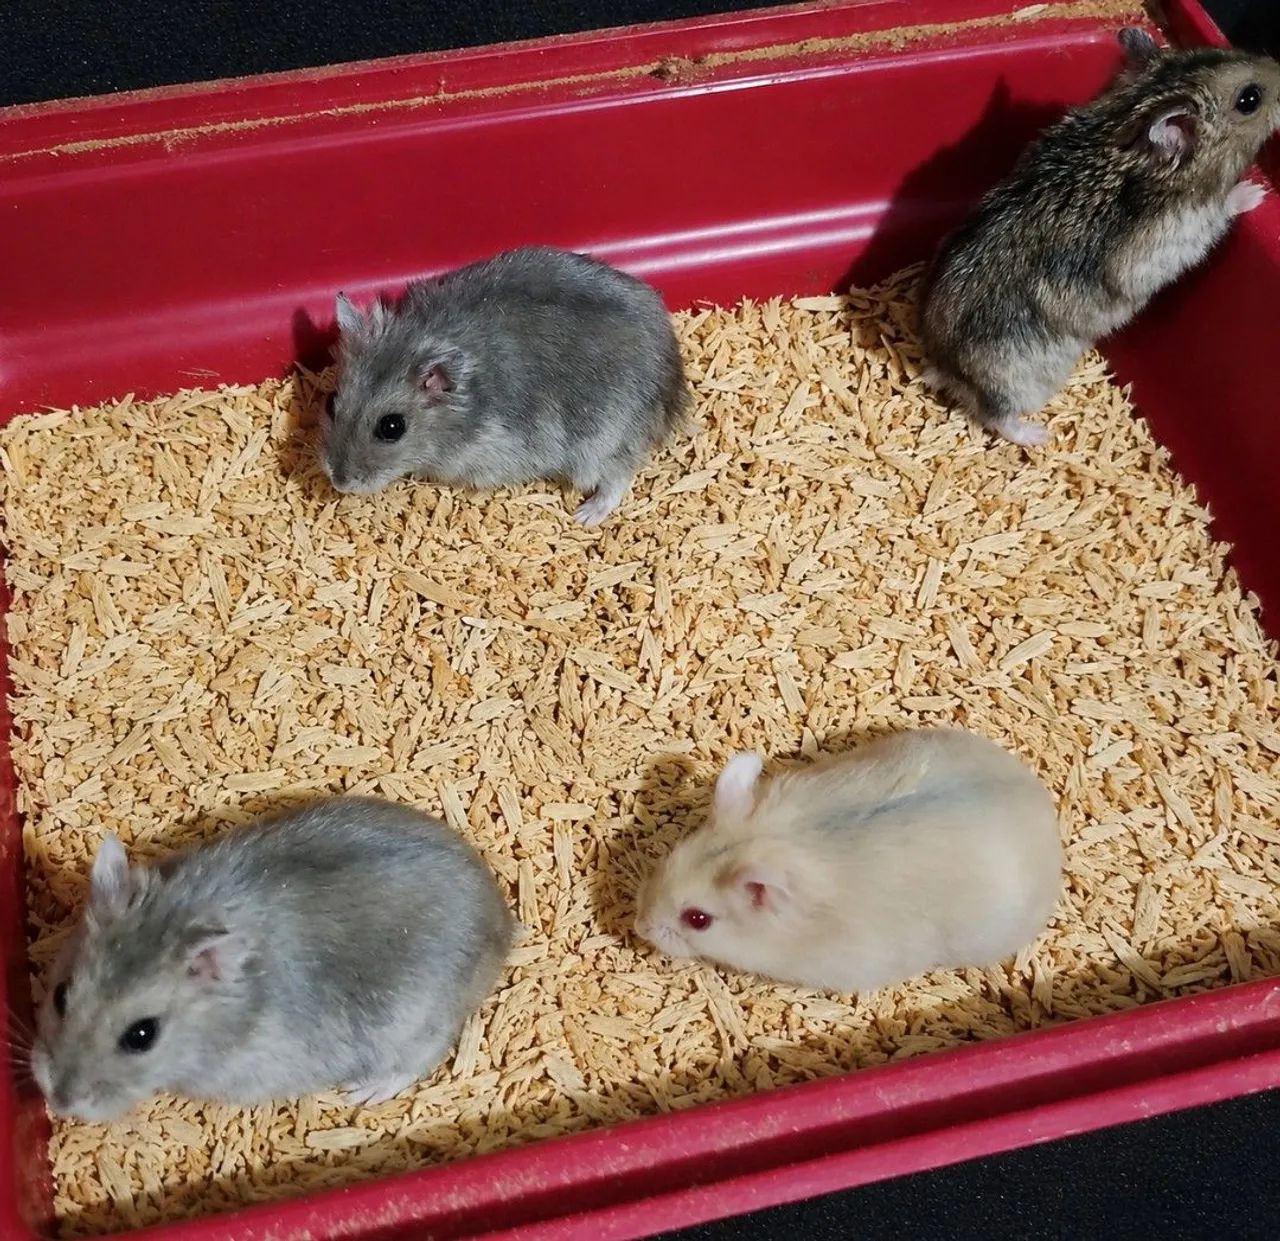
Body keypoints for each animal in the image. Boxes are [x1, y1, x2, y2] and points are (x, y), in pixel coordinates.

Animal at [31, 797, 514, 1121]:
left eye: (142, 1036)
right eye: (59, 996)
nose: (59, 1103)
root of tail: (505, 921)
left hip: (415, 1021)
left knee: (418, 1058)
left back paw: (363, 1092)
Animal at [322, 246, 690, 526]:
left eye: (392, 427)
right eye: (330, 401)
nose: (338, 482)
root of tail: (672, 377)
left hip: (603, 441)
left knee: (619, 476)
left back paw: (584, 516)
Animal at [919, 28, 1280, 447]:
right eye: (1249, 100)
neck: (1126, 121)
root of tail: (945, 368)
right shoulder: (1175, 236)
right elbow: (1220, 210)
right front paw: (1255, 192)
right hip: (1017, 382)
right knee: (996, 416)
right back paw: (1038, 436)